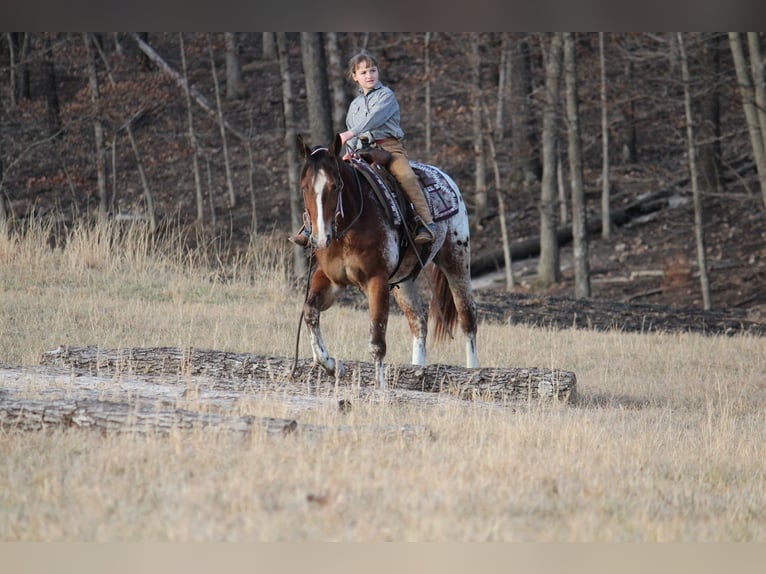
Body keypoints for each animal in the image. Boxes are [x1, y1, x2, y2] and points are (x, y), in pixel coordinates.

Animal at [297, 133, 478, 388]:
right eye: (304, 188)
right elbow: (310, 311)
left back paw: (474, 370)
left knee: (467, 316)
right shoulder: (332, 280)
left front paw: (380, 386)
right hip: (404, 280)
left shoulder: (377, 280)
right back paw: (417, 367)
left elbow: (377, 339)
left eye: (336, 185)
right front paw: (332, 366)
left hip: (456, 260)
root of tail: (447, 180)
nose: (321, 238)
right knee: (418, 321)